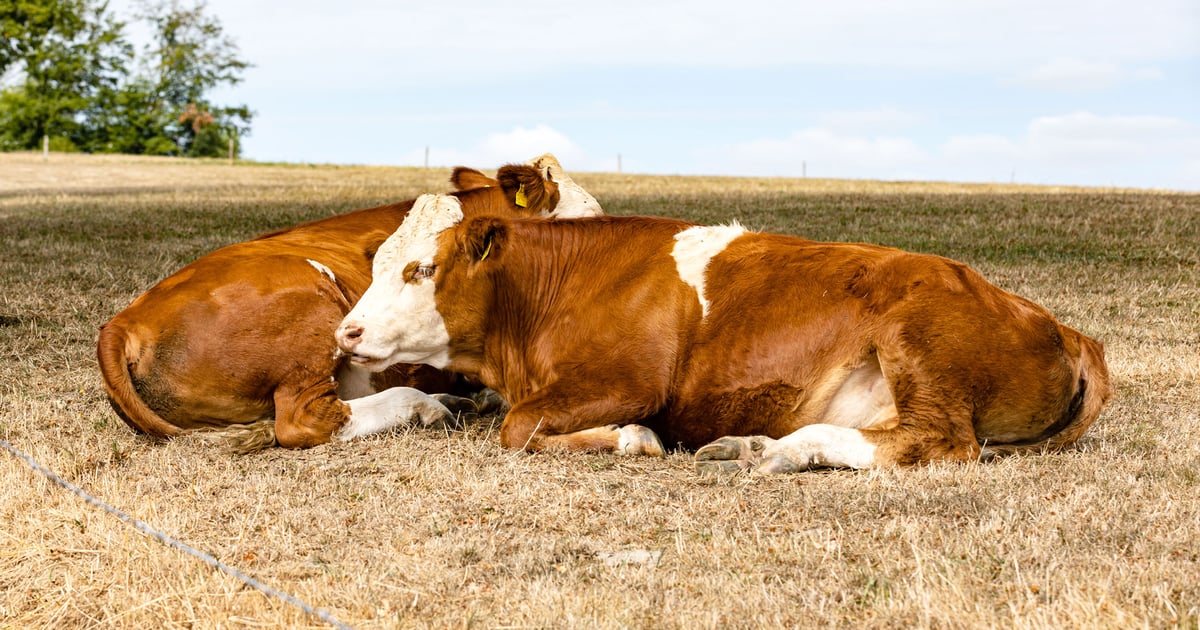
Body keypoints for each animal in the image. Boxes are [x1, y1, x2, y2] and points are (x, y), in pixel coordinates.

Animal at [333, 195, 1113, 474]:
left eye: (420, 268)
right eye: (377, 260)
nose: (348, 331)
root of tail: (1064, 327)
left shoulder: (630, 381)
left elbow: (518, 428)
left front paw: (631, 439)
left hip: (918, 341)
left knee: (939, 443)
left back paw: (779, 451)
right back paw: (754, 445)